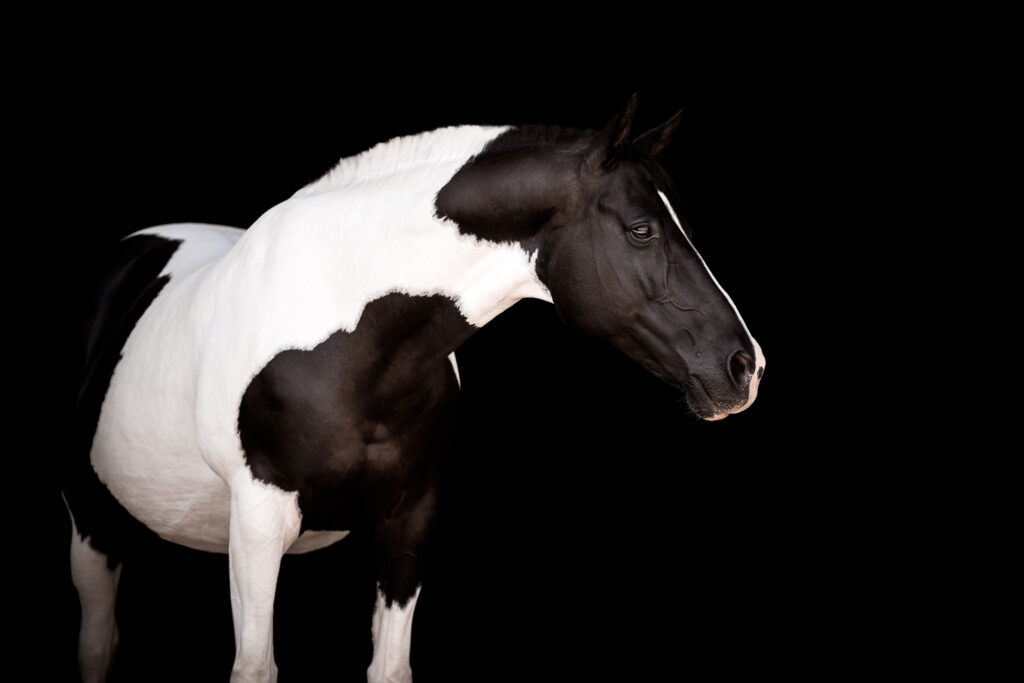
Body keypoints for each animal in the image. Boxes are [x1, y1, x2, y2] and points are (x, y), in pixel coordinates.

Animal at [63, 95, 765, 682]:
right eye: (642, 230)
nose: (746, 367)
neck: (349, 344)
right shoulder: (261, 520)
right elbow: (255, 668)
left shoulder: (410, 521)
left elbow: (389, 666)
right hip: (95, 522)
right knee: (96, 643)